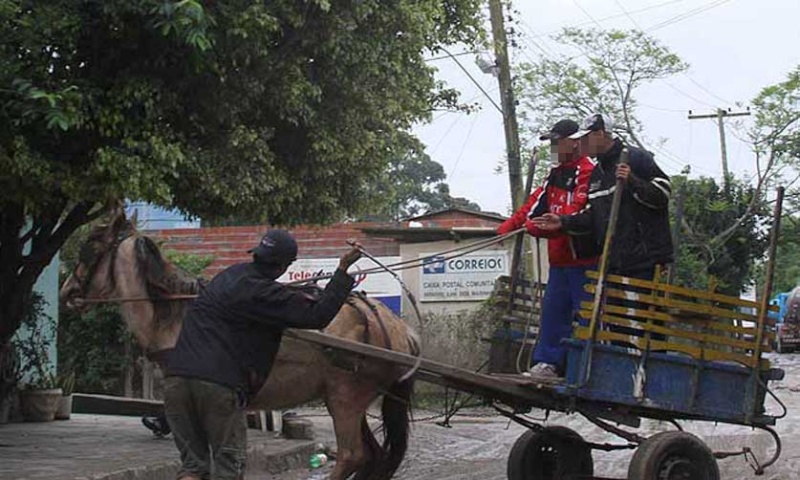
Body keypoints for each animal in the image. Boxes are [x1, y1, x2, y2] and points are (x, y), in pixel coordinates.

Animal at [59, 209, 422, 480]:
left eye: (89, 246)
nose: (66, 292)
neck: (173, 313)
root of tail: (398, 327)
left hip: (345, 398)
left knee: (351, 455)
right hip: (349, 399)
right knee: (373, 455)